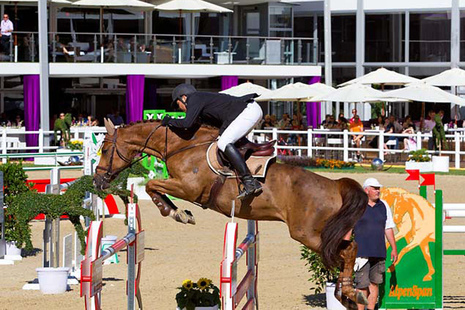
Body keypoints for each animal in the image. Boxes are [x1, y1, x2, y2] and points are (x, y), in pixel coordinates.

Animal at [94, 118, 368, 306]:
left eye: (105, 150)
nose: (99, 181)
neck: (182, 146)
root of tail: (335, 185)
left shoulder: (188, 188)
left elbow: (153, 185)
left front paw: (174, 212)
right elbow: (154, 186)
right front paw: (179, 212)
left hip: (307, 233)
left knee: (347, 251)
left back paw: (350, 292)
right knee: (349, 249)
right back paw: (346, 293)